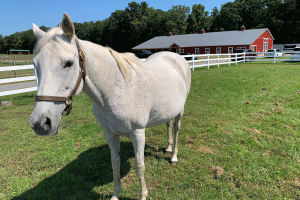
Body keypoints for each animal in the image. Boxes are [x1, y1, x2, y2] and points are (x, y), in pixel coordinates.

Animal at [29, 13, 191, 199]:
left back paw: (173, 157)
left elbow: (139, 166)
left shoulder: (138, 133)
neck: (116, 90)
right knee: (168, 124)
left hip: (180, 111)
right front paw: (115, 195)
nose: (40, 123)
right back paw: (168, 148)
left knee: (177, 128)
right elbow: (115, 164)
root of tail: (175, 57)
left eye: (69, 63)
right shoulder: (110, 134)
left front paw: (143, 195)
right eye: (35, 64)